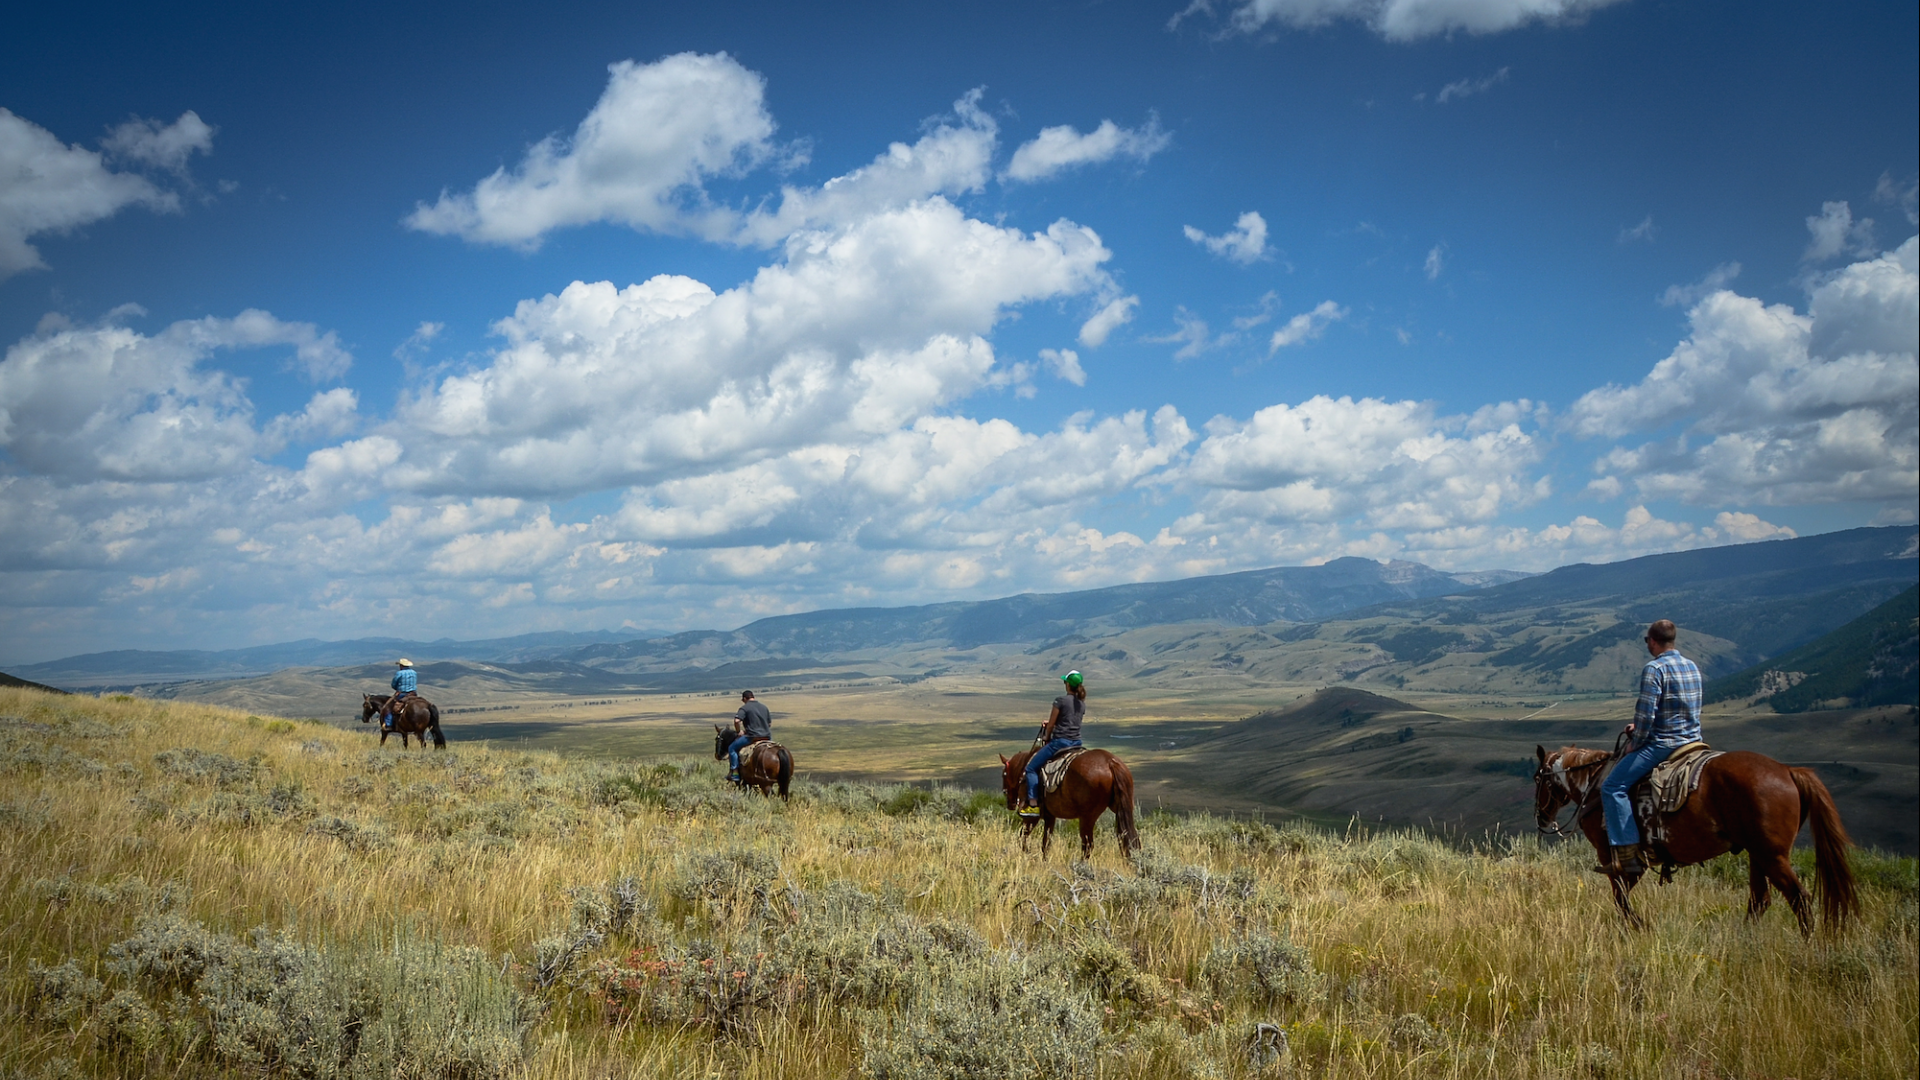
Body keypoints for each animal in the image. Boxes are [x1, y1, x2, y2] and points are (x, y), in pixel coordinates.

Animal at [998, 745, 1128, 853]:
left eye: (1004, 774)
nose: (1009, 803)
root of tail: (1110, 762)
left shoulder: (1032, 817)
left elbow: (1022, 836)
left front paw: (1027, 853)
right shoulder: (1050, 817)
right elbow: (1045, 843)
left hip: (1087, 817)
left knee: (1087, 845)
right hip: (1118, 812)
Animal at [1536, 737, 1850, 933]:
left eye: (1538, 778)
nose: (1541, 819)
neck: (1595, 783)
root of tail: (1787, 770)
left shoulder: (1613, 856)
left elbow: (1620, 898)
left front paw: (1638, 927)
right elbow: (1621, 897)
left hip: (1771, 856)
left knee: (1799, 899)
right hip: (1758, 854)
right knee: (1760, 899)